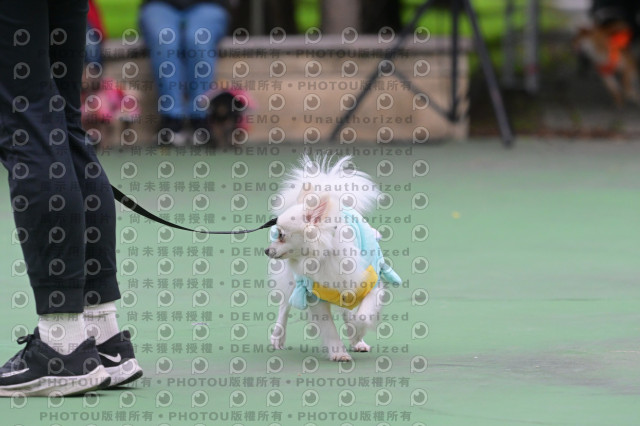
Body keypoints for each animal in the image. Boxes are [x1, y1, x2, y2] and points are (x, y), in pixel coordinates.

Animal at [264, 155, 402, 361]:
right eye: (275, 232)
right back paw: (278, 336)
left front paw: (357, 333)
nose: (267, 250)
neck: (325, 256)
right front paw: (338, 352)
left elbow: (362, 316)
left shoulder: (371, 285)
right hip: (291, 282)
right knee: (284, 306)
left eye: (281, 235)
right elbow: (329, 328)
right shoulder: (315, 295)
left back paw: (356, 339)